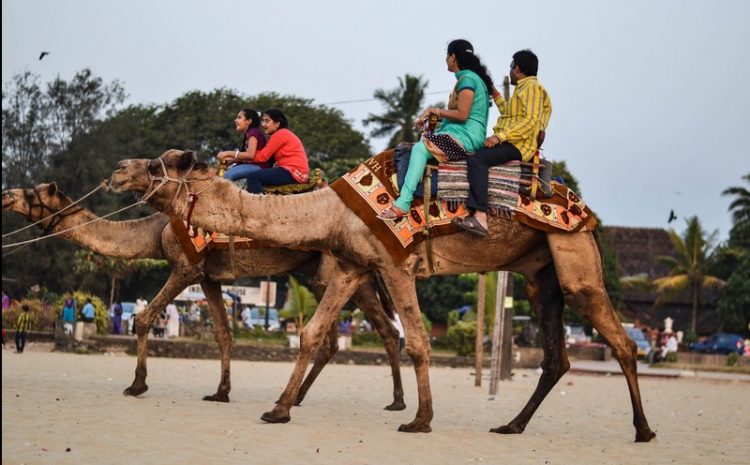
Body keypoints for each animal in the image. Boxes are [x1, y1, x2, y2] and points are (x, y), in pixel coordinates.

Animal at [1, 182, 406, 410]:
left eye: (33, 192)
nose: (6, 194)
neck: (156, 229)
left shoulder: (186, 267)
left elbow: (143, 318)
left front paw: (137, 385)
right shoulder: (209, 277)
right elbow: (223, 334)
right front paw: (221, 392)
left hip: (334, 271)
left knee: (375, 331)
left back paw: (394, 402)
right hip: (331, 275)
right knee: (354, 336)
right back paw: (310, 397)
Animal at [108, 150, 656, 440]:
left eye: (162, 164)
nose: (117, 171)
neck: (332, 209)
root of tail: (582, 209)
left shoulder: (395, 264)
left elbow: (418, 341)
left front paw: (421, 419)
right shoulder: (353, 265)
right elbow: (312, 333)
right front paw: (279, 409)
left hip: (573, 254)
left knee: (622, 341)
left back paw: (643, 430)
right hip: (540, 274)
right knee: (555, 357)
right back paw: (511, 426)